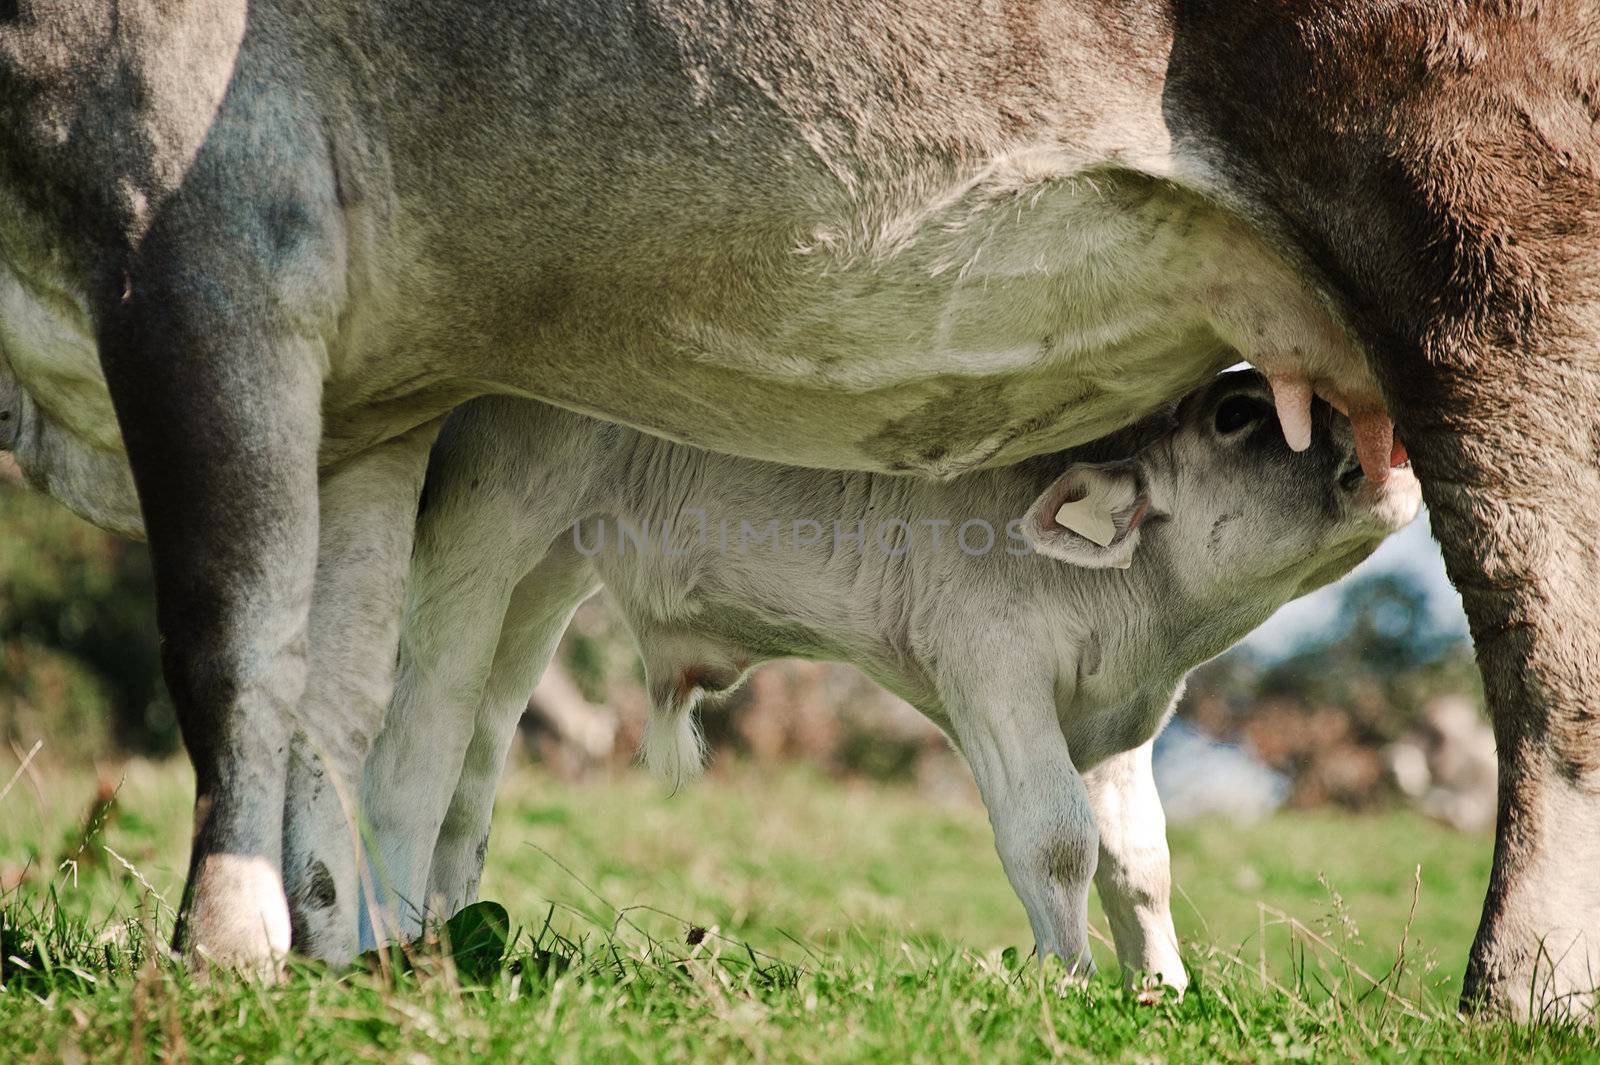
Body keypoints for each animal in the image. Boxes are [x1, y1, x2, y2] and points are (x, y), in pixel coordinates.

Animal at [360, 367, 1414, 985]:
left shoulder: (1126, 729)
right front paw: (1067, 980)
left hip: (545, 579)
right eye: (1239, 414)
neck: (1142, 620)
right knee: (416, 735)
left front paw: (1161, 988)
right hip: (487, 519)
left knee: (476, 767)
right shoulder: (993, 675)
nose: (1390, 446)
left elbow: (1142, 864)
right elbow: (1056, 840)